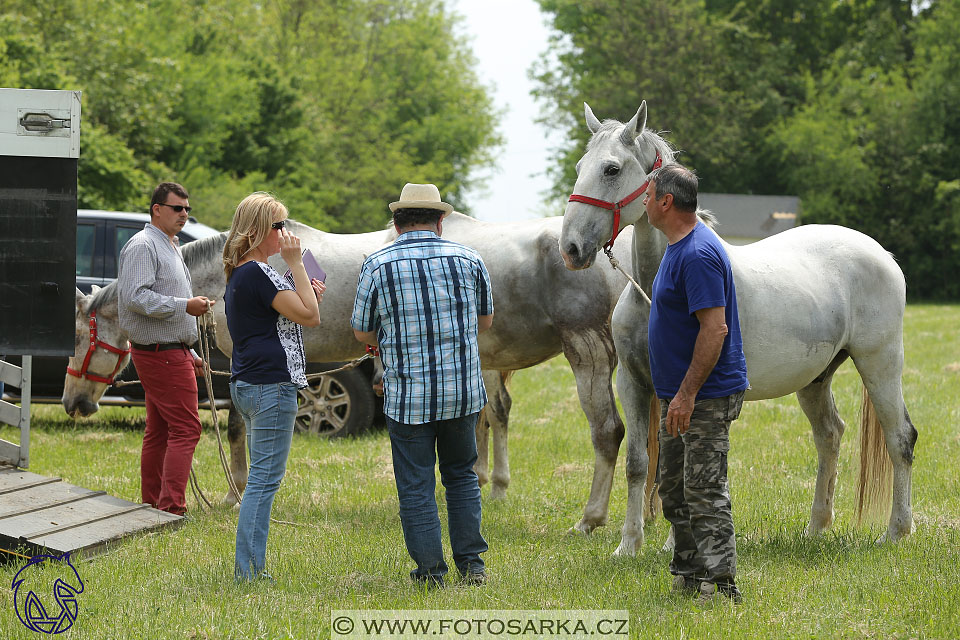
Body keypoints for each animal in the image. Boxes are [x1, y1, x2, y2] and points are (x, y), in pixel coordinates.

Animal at [60, 212, 632, 532]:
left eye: (78, 337)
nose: (73, 403)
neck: (229, 276)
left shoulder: (240, 364)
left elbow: (239, 428)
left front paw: (234, 492)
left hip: (585, 349)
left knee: (603, 431)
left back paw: (590, 518)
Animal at [560, 100, 920, 556]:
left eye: (611, 169)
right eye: (579, 166)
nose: (570, 248)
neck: (655, 287)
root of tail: (881, 254)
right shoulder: (635, 383)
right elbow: (641, 464)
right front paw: (630, 545)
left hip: (880, 364)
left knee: (900, 438)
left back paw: (897, 531)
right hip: (816, 379)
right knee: (829, 436)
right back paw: (816, 527)